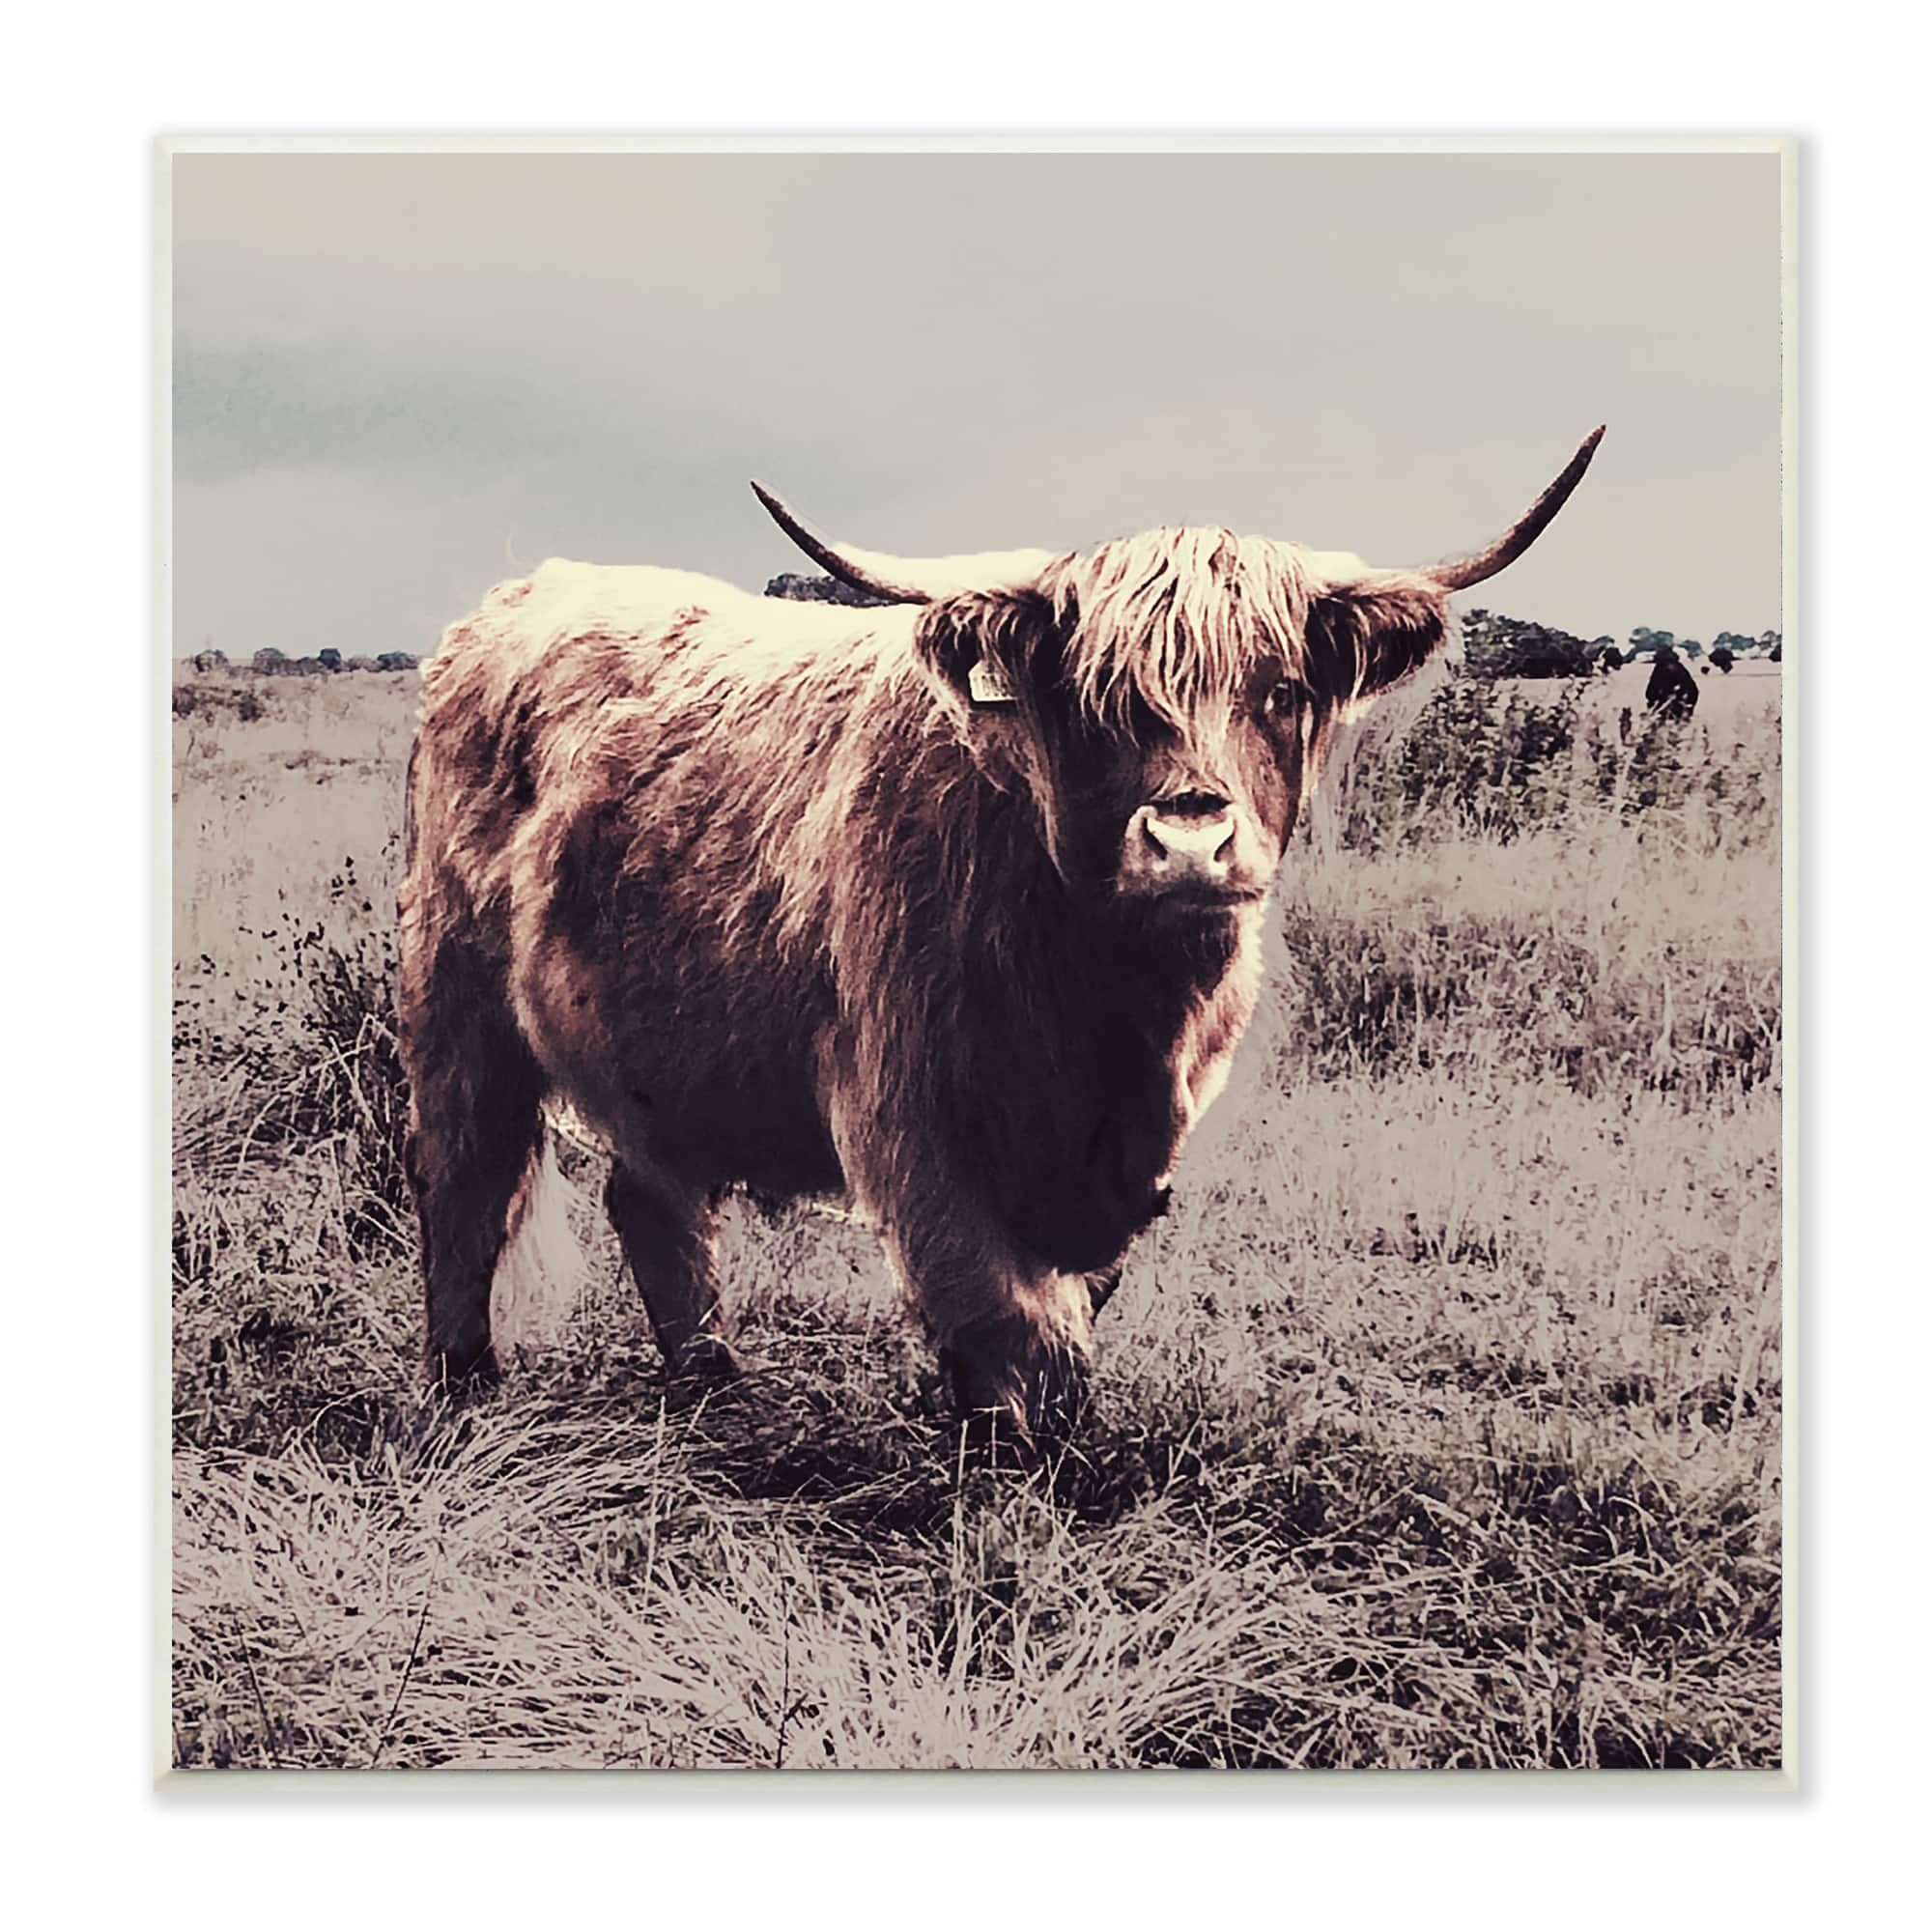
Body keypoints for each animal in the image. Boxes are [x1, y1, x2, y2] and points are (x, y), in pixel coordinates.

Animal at [398, 428, 1604, 1447]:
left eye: (1278, 689)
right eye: (1098, 699)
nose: (1188, 840)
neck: (1111, 1007)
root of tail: (519, 596)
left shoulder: (1132, 1146)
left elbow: (1069, 1296)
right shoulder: (908, 1109)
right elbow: (1002, 1312)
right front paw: (1010, 1455)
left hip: (656, 1042)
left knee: (650, 1195)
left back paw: (713, 1383)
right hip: (455, 996)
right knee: (464, 1176)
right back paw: (465, 1384)